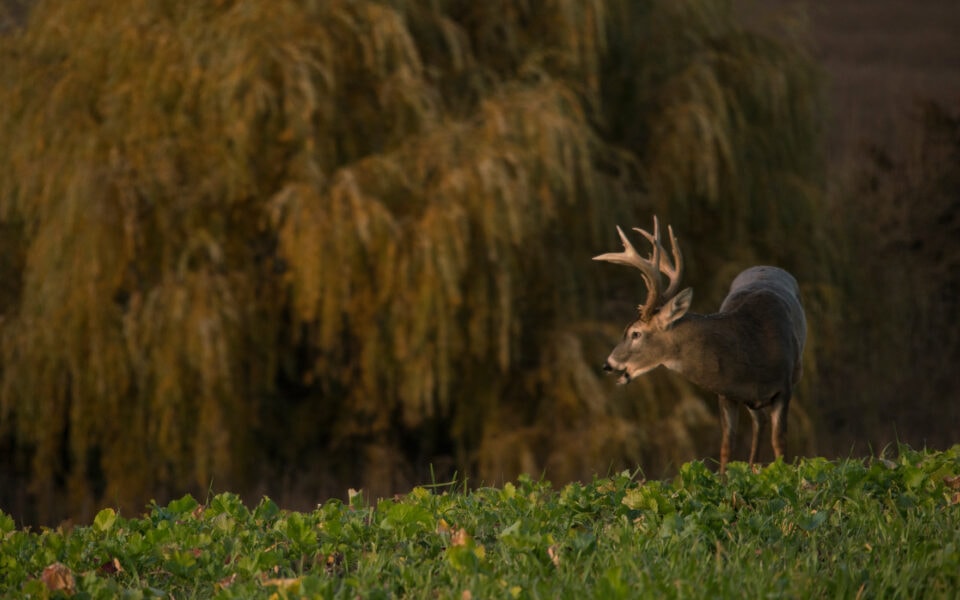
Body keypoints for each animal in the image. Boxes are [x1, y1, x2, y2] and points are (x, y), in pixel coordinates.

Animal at [596, 218, 808, 476]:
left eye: (635, 333)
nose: (608, 363)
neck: (752, 346)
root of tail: (767, 265)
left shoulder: (784, 388)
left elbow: (780, 444)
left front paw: (782, 475)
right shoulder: (726, 393)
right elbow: (726, 446)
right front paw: (727, 482)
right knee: (760, 422)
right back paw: (751, 467)